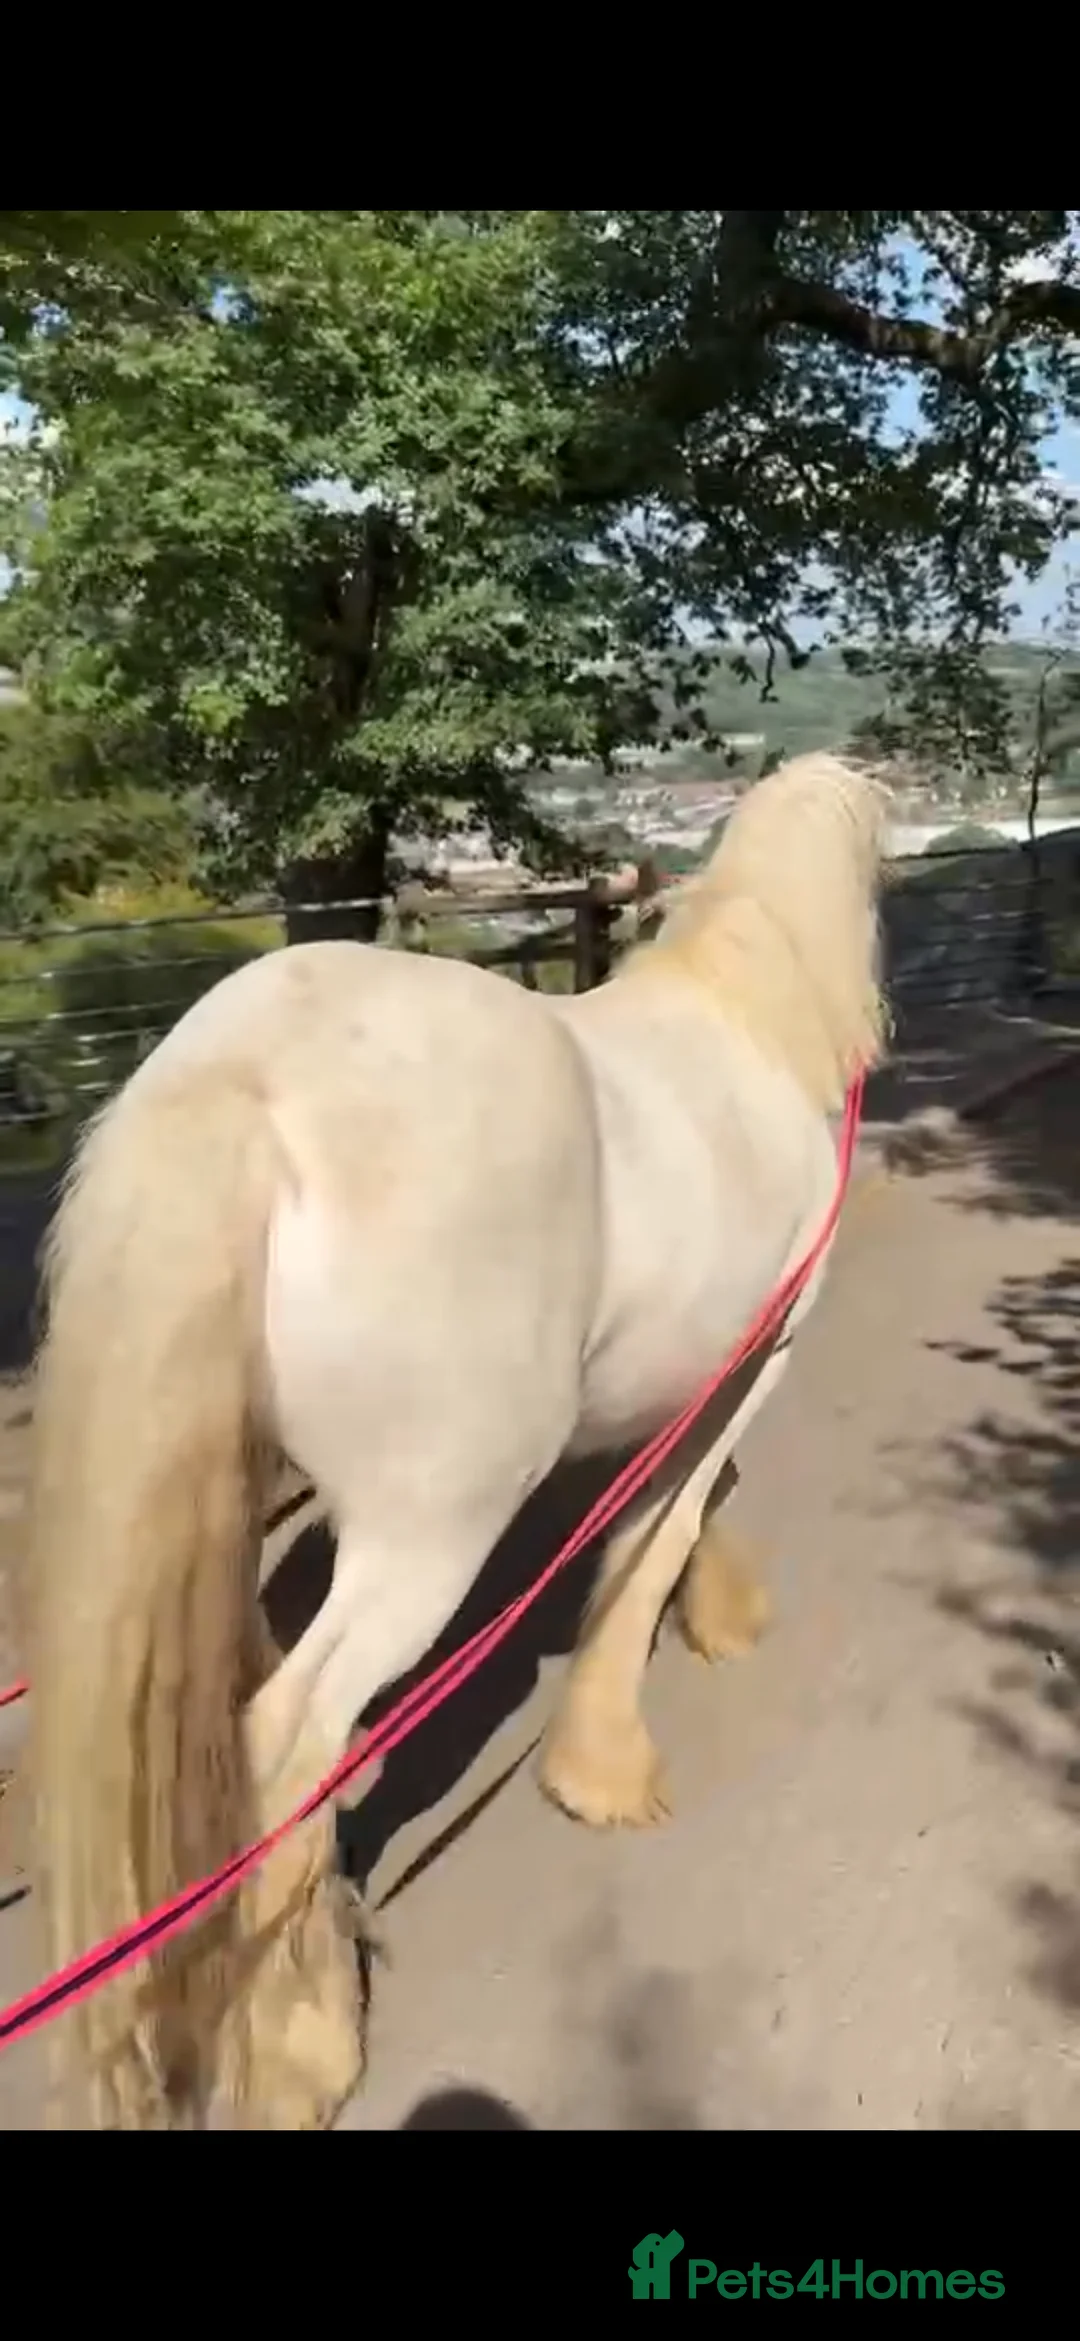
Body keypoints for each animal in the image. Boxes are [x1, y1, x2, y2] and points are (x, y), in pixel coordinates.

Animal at [24, 749, 889, 2131]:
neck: (745, 1029)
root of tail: (248, 1072)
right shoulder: (754, 1366)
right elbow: (659, 1532)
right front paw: (607, 1767)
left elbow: (669, 1518)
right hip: (430, 1532)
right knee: (289, 1735)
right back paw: (304, 2047)